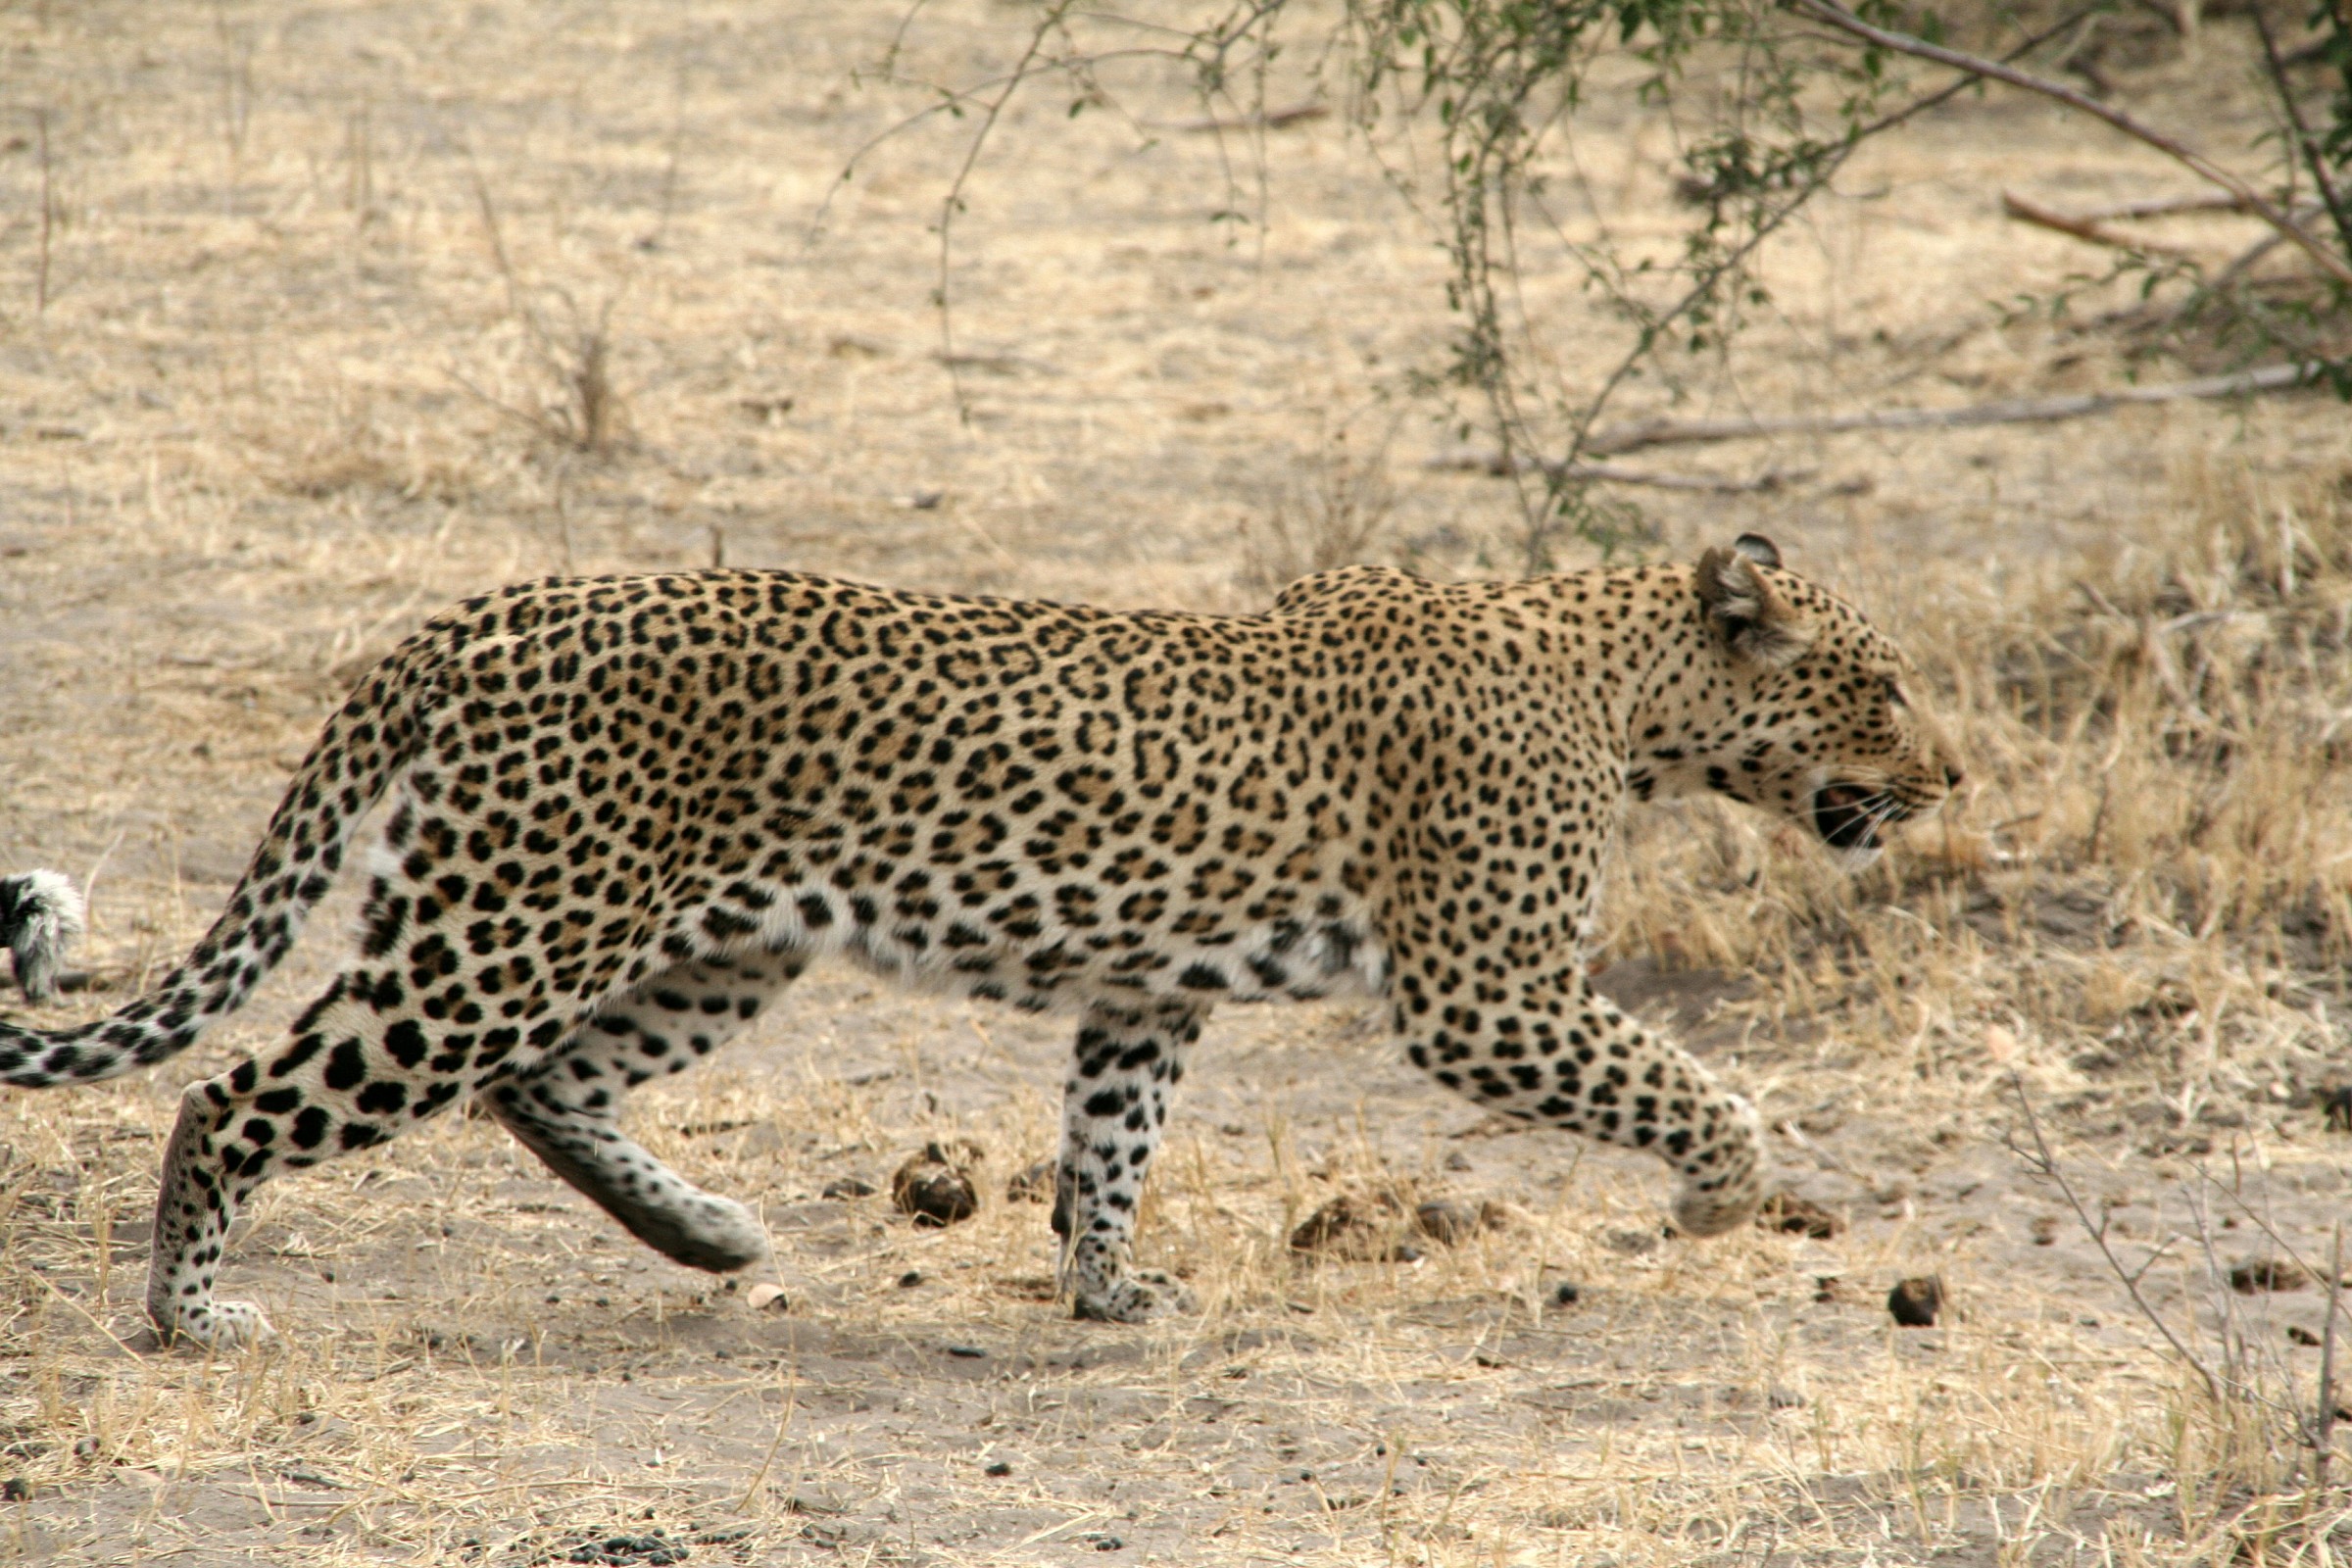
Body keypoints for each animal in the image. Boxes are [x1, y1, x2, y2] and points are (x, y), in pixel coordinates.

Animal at [0, 533, 1959, 1348]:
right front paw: (1720, 1197)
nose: (1947, 777)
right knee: (240, 1095)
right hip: (501, 932)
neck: (1625, 694)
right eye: (1882, 687)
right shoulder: (1487, 996)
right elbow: (1684, 1081)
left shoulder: (1147, 988)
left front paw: (1104, 1292)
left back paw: (711, 1236)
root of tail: (472, 615)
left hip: (708, 943)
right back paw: (192, 1316)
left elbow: (1108, 1145)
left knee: (543, 1090)